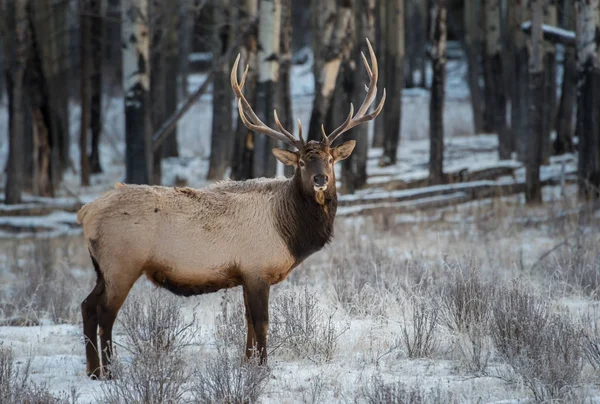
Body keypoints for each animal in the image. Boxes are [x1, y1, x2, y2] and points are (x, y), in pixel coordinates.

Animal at [77, 39, 384, 378]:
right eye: (302, 162)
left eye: (330, 159)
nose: (321, 179)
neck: (289, 232)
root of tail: (86, 212)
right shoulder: (256, 268)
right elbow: (261, 322)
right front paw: (263, 368)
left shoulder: (246, 274)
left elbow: (248, 322)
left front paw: (247, 364)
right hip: (122, 262)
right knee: (105, 313)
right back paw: (108, 372)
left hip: (102, 267)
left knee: (87, 306)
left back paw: (93, 370)